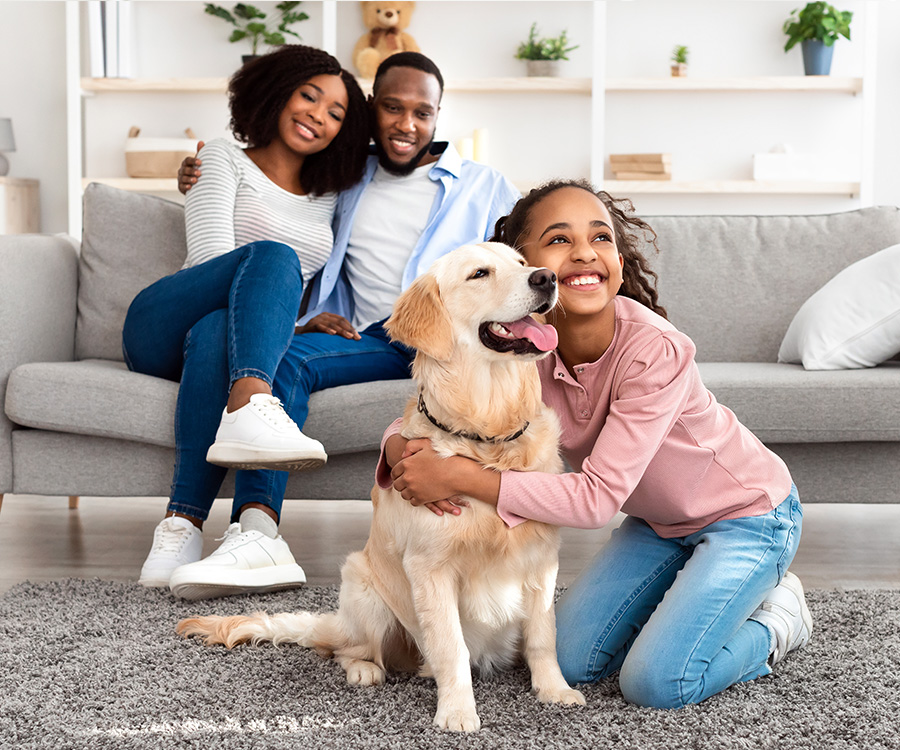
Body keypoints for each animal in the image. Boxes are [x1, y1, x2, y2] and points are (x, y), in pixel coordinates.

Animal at [178, 245, 584, 736]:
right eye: (479, 274)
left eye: (521, 262)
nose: (546, 278)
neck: (488, 436)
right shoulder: (430, 570)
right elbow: (451, 647)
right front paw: (457, 712)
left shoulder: (541, 561)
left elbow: (544, 637)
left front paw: (554, 690)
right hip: (363, 587)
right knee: (345, 649)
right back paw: (363, 669)